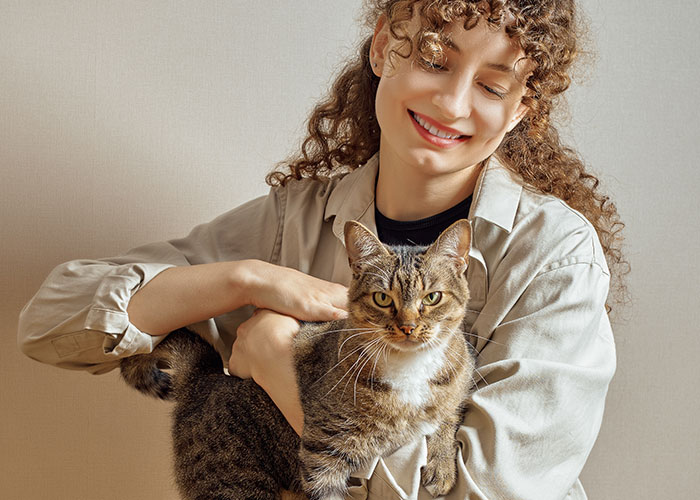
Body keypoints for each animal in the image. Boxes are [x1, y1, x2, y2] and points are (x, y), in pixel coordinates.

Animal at [123, 220, 478, 500]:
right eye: (382, 298)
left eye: (432, 297)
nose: (407, 327)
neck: (409, 369)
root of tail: (206, 375)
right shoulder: (323, 454)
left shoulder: (459, 382)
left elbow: (448, 416)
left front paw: (442, 465)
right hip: (233, 481)